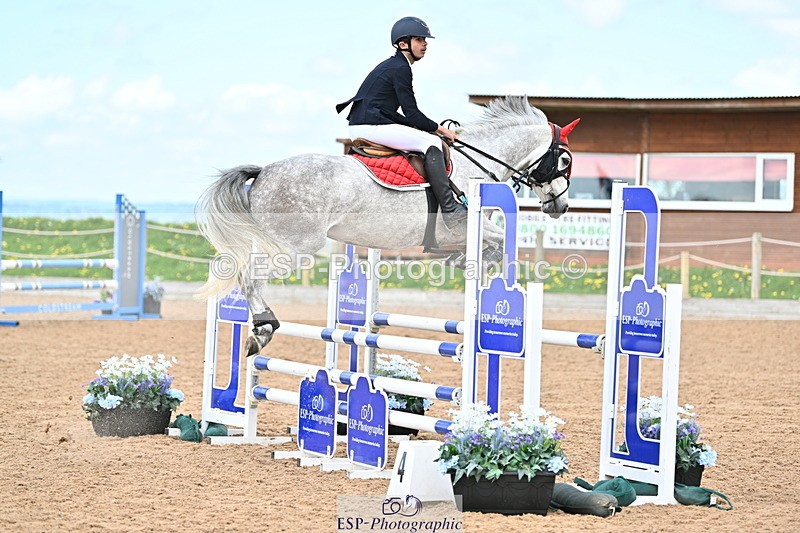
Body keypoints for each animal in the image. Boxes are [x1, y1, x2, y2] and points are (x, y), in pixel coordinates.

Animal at [196, 96, 579, 355]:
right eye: (564, 160)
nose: (561, 207)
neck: (477, 163)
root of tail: (263, 172)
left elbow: (486, 248)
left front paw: (463, 261)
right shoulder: (465, 226)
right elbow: (500, 243)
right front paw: (479, 261)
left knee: (243, 272)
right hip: (293, 248)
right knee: (250, 277)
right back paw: (263, 329)